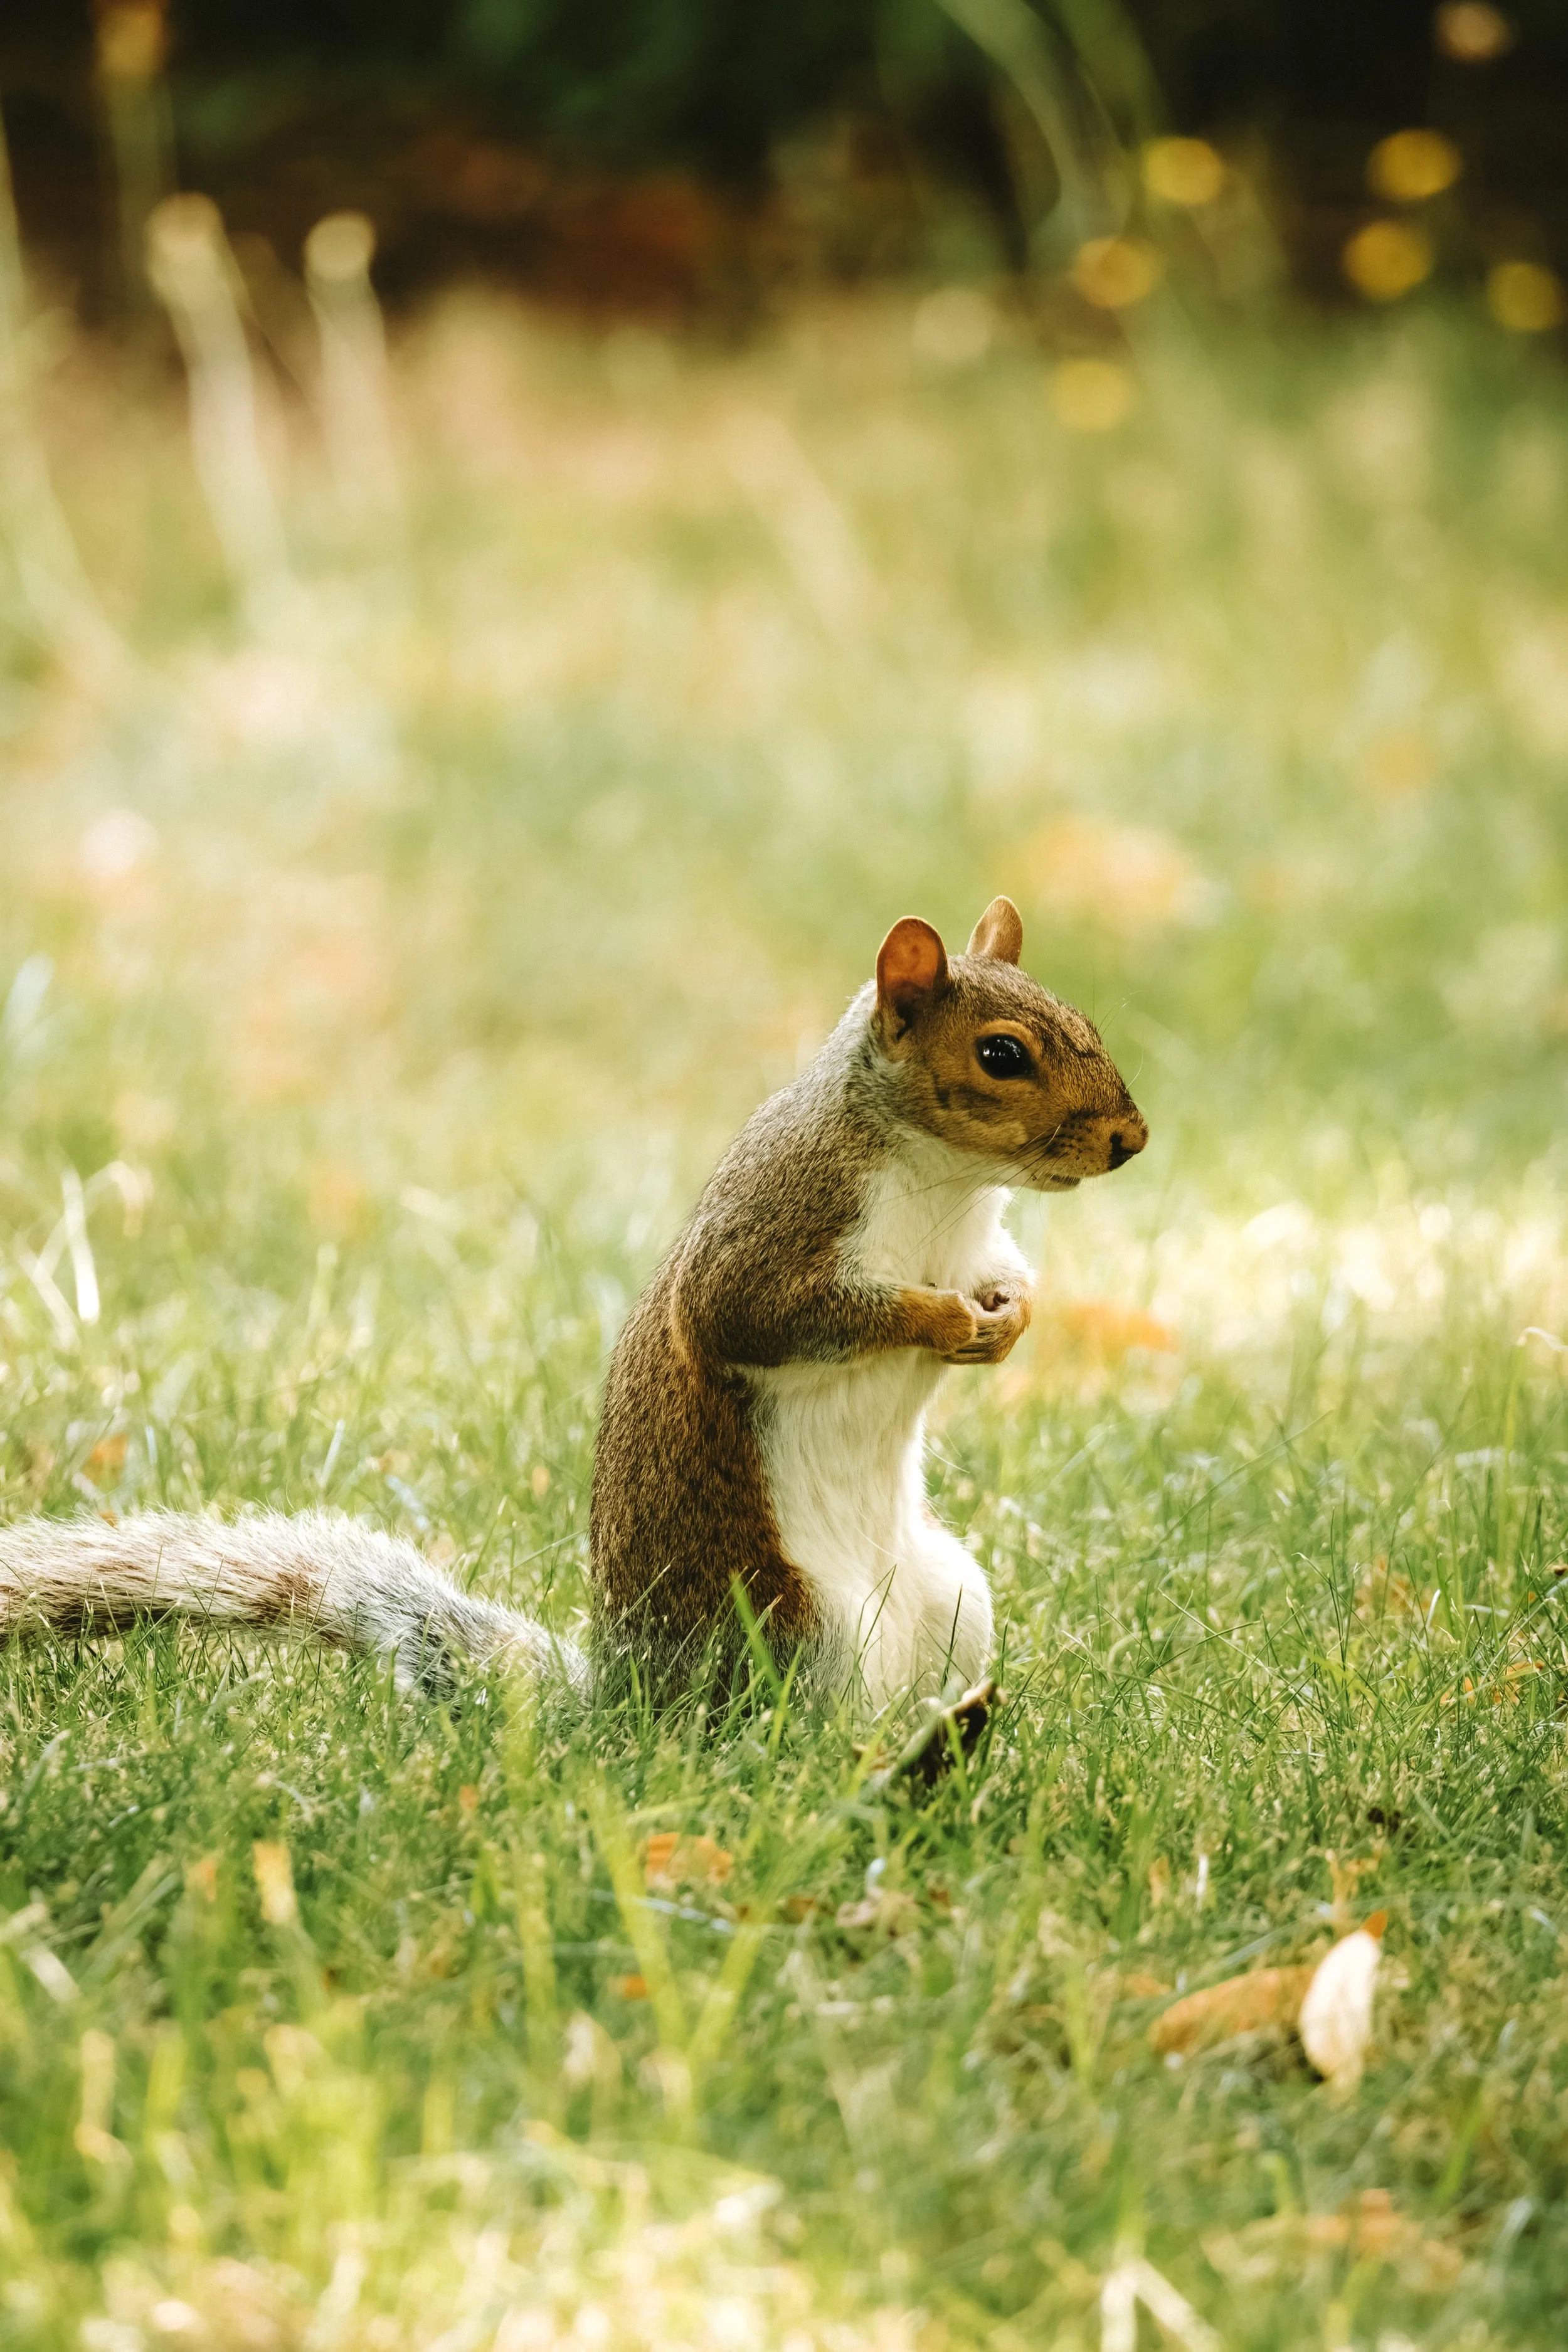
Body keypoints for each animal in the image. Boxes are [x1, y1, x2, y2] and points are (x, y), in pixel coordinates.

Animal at [0, 898, 1144, 1717]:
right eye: (1002, 1054)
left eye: (1089, 1022)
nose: (1130, 1139)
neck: (946, 1186)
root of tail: (631, 1709)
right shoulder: (774, 1234)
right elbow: (770, 1317)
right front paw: (945, 1323)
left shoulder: (979, 1240)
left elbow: (1012, 1276)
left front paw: (1013, 1318)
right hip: (787, 1629)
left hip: (956, 1601)